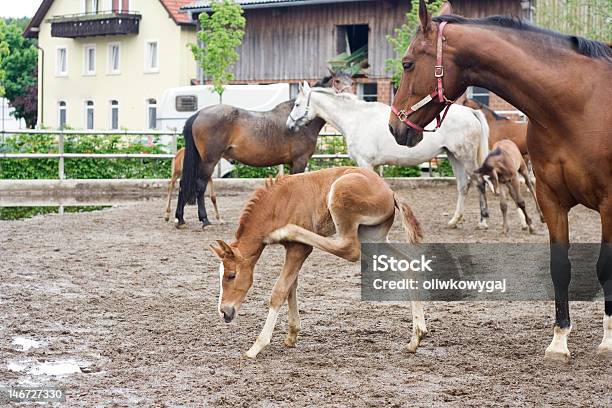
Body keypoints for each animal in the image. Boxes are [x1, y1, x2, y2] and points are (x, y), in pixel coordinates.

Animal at [175, 72, 352, 226]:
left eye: (351, 81)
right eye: (337, 81)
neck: (300, 122)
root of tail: (198, 114)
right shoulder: (299, 162)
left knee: (183, 183)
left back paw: (180, 218)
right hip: (209, 161)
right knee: (200, 185)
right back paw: (204, 220)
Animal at [210, 167, 426, 358]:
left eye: (231, 275)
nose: (224, 312)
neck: (278, 203)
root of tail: (390, 192)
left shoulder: (299, 249)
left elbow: (279, 291)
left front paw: (256, 346)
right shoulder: (293, 252)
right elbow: (291, 287)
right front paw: (291, 335)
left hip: (341, 196)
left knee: (349, 249)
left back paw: (286, 230)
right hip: (372, 237)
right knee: (407, 264)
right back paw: (416, 337)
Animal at [286, 83, 492, 230]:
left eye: (297, 104)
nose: (289, 126)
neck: (355, 119)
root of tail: (470, 112)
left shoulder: (365, 163)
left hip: (465, 157)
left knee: (479, 183)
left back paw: (483, 221)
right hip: (454, 156)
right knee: (463, 186)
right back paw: (454, 221)